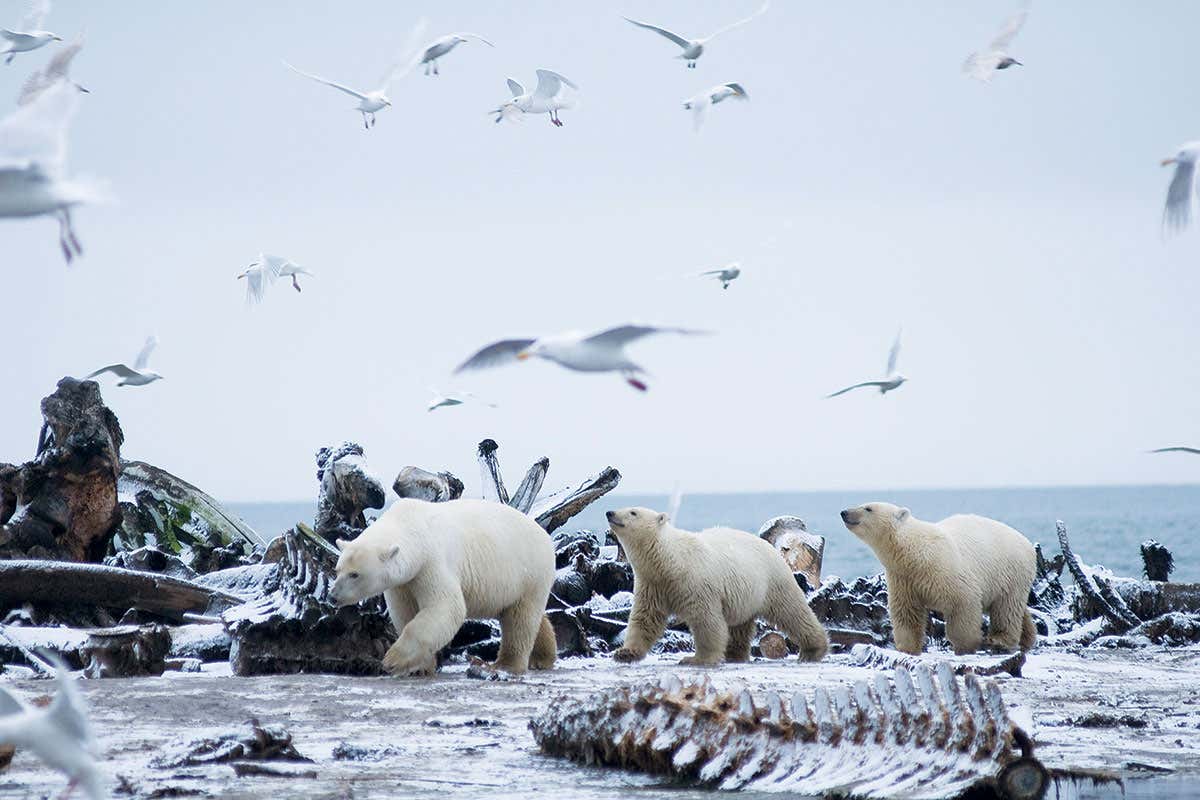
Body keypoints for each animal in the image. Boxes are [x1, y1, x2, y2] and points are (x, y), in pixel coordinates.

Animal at [329, 498, 557, 676]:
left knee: (521, 619)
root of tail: (545, 535)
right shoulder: (403, 582)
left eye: (355, 574)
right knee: (526, 615)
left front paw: (393, 660)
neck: (411, 525)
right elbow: (405, 613)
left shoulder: (431, 562)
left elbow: (446, 606)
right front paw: (419, 667)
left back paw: (506, 664)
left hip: (530, 572)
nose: (333, 596)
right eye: (337, 569)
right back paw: (542, 658)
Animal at [605, 507, 828, 665]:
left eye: (633, 512)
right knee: (740, 626)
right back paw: (735, 654)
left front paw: (695, 659)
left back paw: (813, 650)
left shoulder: (695, 582)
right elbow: (645, 619)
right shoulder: (653, 584)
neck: (670, 561)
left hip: (773, 581)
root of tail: (771, 546)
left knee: (792, 612)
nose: (610, 512)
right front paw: (625, 653)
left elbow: (706, 620)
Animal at [839, 502, 1037, 655]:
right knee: (1014, 608)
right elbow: (906, 613)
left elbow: (963, 604)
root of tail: (1027, 542)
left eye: (868, 508)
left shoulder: (948, 571)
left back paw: (999, 640)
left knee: (1007, 607)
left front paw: (965, 646)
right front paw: (907, 648)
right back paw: (1027, 638)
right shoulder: (904, 579)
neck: (916, 554)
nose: (844, 512)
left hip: (1011, 572)